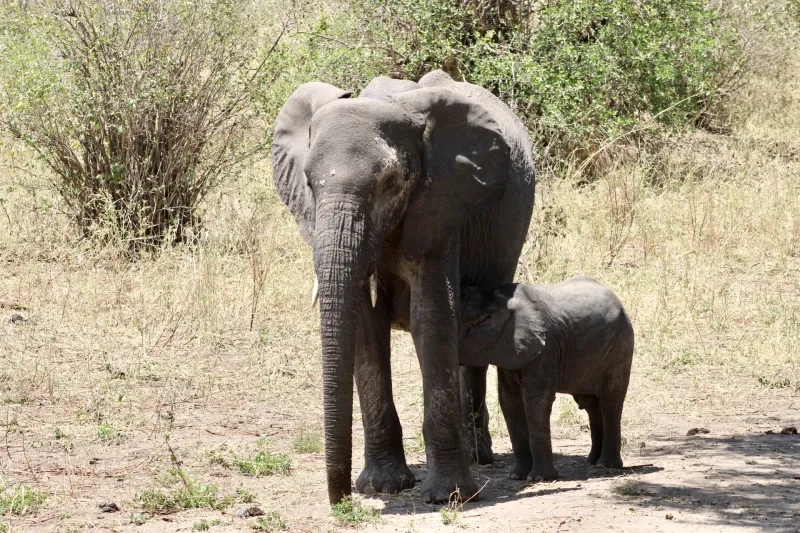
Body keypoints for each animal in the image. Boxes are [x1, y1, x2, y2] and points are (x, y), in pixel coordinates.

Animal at [271, 70, 535, 504]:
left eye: (391, 183)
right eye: (308, 183)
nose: (341, 499)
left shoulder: (441, 203)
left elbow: (432, 317)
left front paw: (447, 496)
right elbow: (364, 328)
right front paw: (382, 486)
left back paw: (478, 456)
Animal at [458, 276, 635, 482]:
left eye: (472, 325)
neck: (500, 301)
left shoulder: (546, 349)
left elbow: (536, 401)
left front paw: (539, 478)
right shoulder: (509, 351)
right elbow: (510, 402)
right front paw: (517, 476)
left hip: (620, 345)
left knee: (609, 402)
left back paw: (606, 465)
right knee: (591, 405)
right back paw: (592, 461)